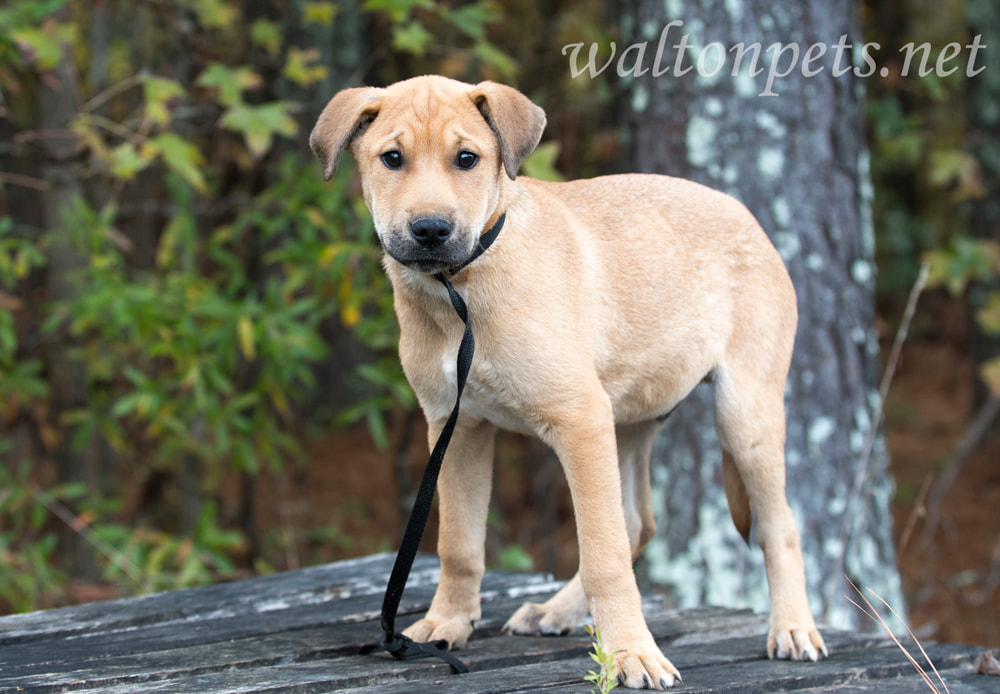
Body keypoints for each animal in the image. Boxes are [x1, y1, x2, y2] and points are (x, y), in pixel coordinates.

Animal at [308, 76, 824, 692]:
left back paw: (791, 628)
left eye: (467, 159)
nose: (430, 230)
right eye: (392, 159)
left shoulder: (577, 419)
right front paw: (447, 623)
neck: (462, 291)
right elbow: (459, 543)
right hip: (629, 416)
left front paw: (630, 653)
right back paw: (555, 610)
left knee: (778, 524)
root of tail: (748, 216)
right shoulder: (457, 428)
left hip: (744, 414)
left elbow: (603, 552)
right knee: (636, 521)